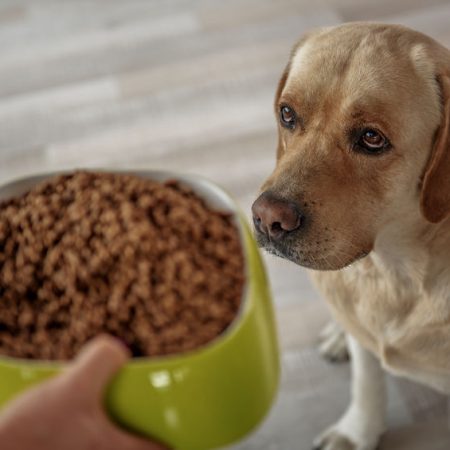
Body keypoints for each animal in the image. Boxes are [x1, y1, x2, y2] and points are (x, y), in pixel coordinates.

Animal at [251, 23, 450, 450]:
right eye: (287, 114)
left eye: (372, 138)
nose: (267, 218)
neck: (394, 271)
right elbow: (367, 382)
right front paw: (357, 432)